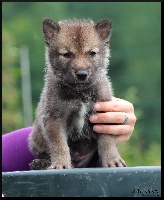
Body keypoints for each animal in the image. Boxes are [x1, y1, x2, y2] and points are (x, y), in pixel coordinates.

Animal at [27, 18, 127, 170]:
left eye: (92, 53)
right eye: (66, 54)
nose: (82, 74)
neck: (80, 93)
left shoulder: (104, 114)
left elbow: (107, 140)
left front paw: (112, 159)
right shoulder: (54, 118)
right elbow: (59, 144)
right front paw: (60, 163)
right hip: (36, 138)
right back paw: (41, 163)